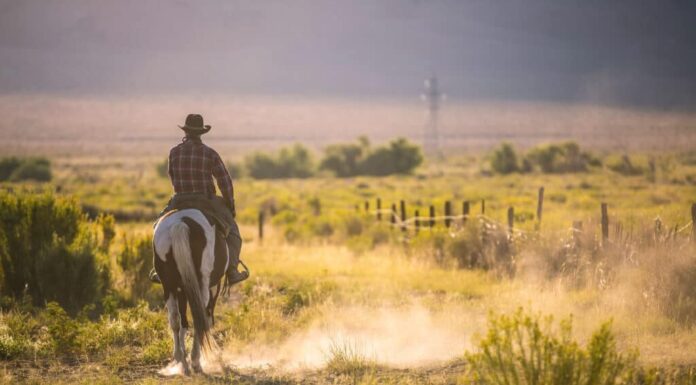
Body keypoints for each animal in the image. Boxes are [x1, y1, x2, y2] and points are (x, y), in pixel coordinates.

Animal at [152, 208, 228, 374]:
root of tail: (180, 223)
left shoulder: (182, 289)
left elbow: (183, 322)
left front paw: (183, 356)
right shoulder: (212, 287)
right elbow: (205, 318)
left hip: (168, 285)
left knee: (174, 318)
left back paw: (181, 359)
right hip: (202, 285)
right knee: (199, 316)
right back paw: (195, 361)